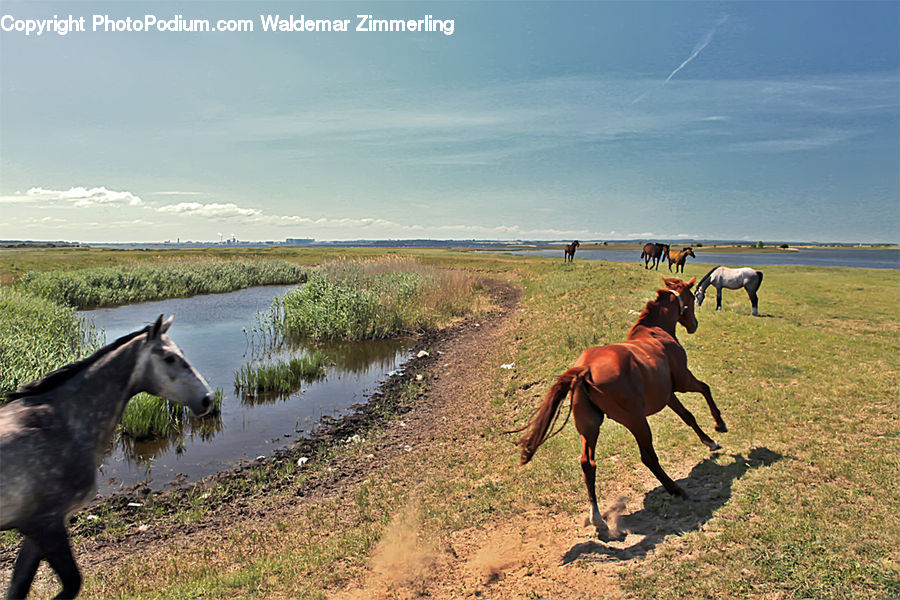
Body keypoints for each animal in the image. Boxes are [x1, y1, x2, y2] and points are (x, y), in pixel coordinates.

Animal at [0, 315, 213, 599]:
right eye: (170, 358)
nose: (207, 398)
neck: (64, 422)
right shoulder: (45, 524)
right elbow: (70, 582)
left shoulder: (36, 529)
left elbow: (19, 588)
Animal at [515, 277, 727, 536]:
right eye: (691, 296)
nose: (694, 324)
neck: (654, 332)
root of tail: (584, 370)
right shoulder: (683, 382)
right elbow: (705, 389)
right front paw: (719, 426)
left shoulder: (668, 395)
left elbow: (688, 417)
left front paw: (709, 441)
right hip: (636, 421)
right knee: (648, 457)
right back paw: (675, 489)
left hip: (589, 426)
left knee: (588, 464)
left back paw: (597, 518)